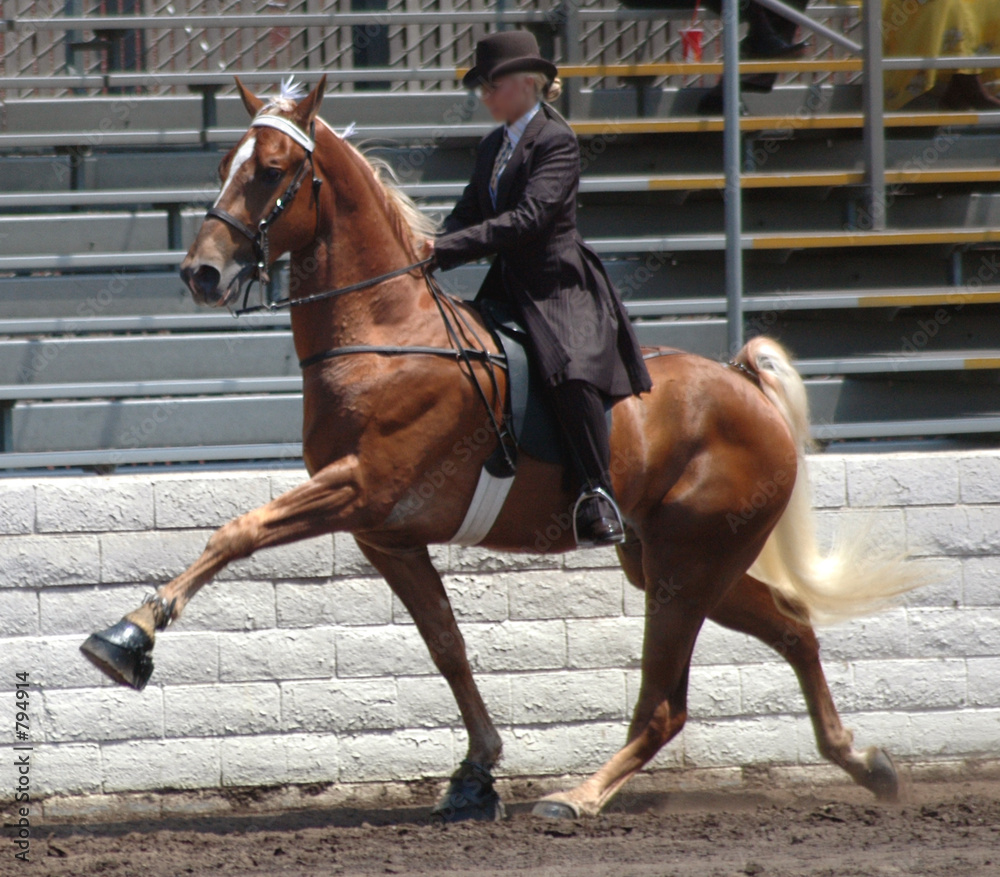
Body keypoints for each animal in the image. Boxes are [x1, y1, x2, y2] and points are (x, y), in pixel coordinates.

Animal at [81, 76, 921, 821]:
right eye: (226, 161)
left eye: (272, 171)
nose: (201, 272)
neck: (384, 334)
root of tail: (746, 387)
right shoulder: (385, 534)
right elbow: (447, 646)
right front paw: (476, 771)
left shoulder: (358, 488)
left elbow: (236, 532)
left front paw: (128, 636)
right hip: (673, 560)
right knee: (791, 623)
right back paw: (865, 762)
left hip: (687, 567)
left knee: (665, 705)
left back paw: (579, 797)